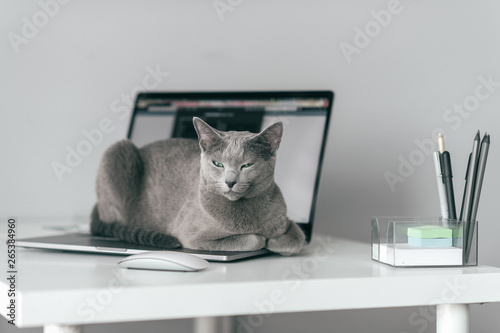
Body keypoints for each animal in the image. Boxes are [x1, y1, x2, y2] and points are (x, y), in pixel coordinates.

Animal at [92, 116, 306, 254]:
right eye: (218, 164)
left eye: (247, 165)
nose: (230, 181)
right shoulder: (190, 236)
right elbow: (253, 239)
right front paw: (264, 240)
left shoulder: (285, 220)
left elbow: (298, 238)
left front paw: (276, 240)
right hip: (118, 150)